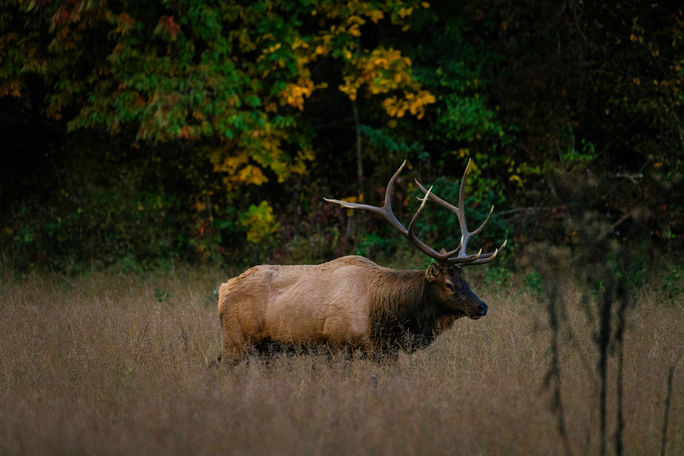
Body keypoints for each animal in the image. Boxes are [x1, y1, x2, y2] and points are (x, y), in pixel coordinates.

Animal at [217, 160, 506, 363]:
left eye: (464, 279)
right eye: (449, 284)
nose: (482, 306)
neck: (384, 318)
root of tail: (222, 290)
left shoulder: (383, 352)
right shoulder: (337, 344)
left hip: (263, 348)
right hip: (236, 339)